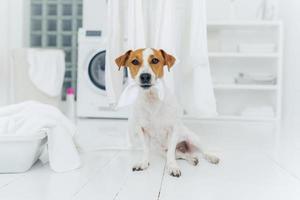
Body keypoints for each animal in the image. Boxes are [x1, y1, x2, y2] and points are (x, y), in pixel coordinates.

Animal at [115, 47, 218, 177]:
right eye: (134, 61)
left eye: (155, 60)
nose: (145, 76)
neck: (152, 99)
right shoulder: (142, 130)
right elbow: (146, 149)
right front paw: (143, 162)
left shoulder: (173, 129)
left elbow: (171, 154)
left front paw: (173, 167)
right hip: (162, 150)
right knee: (180, 154)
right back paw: (192, 159)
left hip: (193, 138)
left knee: (201, 150)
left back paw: (211, 156)